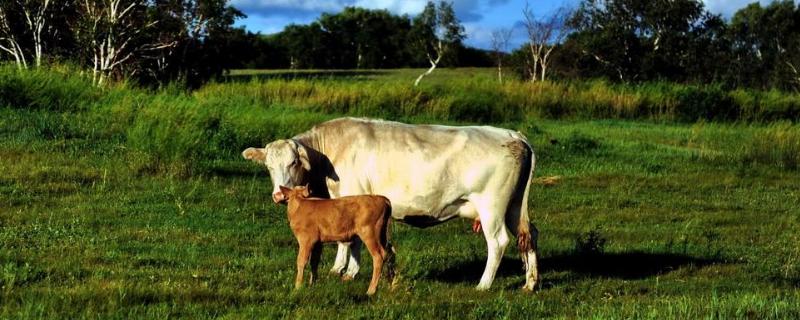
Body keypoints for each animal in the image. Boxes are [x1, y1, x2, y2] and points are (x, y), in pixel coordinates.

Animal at [244, 117, 540, 290]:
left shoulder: (351, 196)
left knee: (498, 242)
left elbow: (349, 241)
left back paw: (483, 285)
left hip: (492, 207)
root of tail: (512, 135)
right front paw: (344, 269)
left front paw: (345, 271)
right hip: (514, 206)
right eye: (268, 166)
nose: (279, 195)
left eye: (294, 162)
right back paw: (530, 283)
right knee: (529, 235)